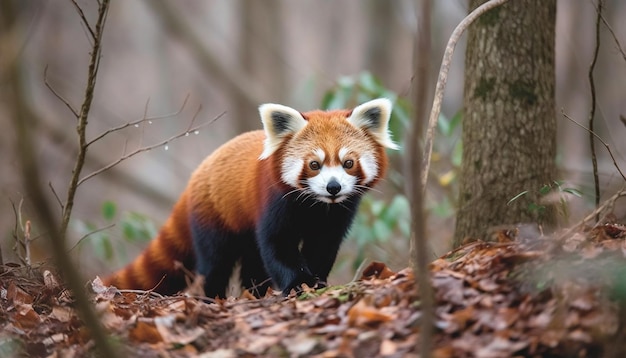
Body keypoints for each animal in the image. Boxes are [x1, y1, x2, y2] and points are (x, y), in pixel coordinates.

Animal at [102, 98, 394, 300]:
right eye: (314, 164)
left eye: (348, 163)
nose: (333, 187)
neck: (314, 206)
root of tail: (198, 173)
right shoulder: (273, 202)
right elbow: (278, 246)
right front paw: (298, 284)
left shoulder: (337, 214)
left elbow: (322, 246)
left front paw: (317, 282)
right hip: (214, 216)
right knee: (215, 264)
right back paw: (214, 298)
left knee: (252, 264)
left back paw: (254, 293)